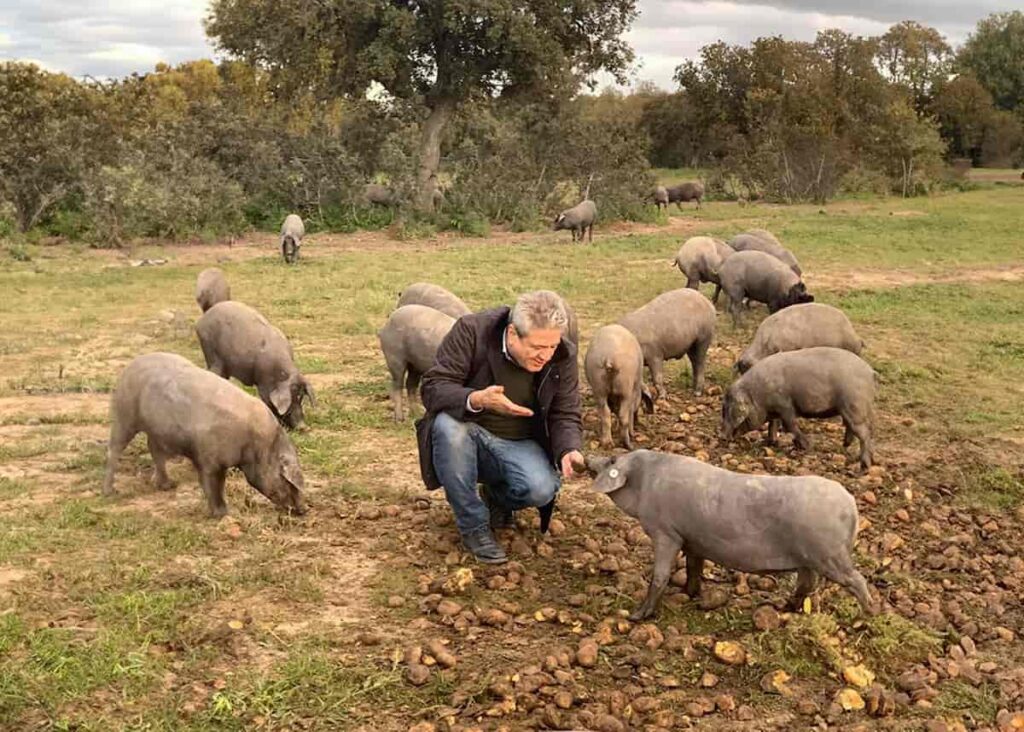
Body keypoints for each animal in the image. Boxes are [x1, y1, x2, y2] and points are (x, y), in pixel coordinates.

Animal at [101, 352, 305, 518]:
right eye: (287, 481)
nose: (304, 510)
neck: (257, 445)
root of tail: (130, 366)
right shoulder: (208, 458)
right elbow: (212, 484)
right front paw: (223, 514)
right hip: (124, 416)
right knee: (114, 450)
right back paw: (110, 492)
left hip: (157, 431)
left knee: (154, 449)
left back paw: (168, 485)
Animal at [585, 450, 872, 622]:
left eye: (612, 460)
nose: (588, 457)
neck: (645, 481)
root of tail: (851, 504)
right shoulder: (693, 539)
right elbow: (693, 567)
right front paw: (689, 593)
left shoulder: (666, 532)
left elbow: (660, 575)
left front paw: (635, 616)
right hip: (810, 559)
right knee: (806, 585)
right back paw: (785, 609)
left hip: (829, 554)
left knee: (857, 580)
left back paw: (869, 616)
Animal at [720, 348, 880, 472]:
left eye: (726, 410)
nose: (722, 436)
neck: (757, 394)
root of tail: (870, 372)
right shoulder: (775, 410)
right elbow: (773, 424)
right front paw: (771, 443)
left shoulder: (785, 405)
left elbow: (790, 425)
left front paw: (806, 446)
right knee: (854, 428)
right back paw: (846, 446)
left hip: (855, 405)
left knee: (864, 433)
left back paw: (863, 466)